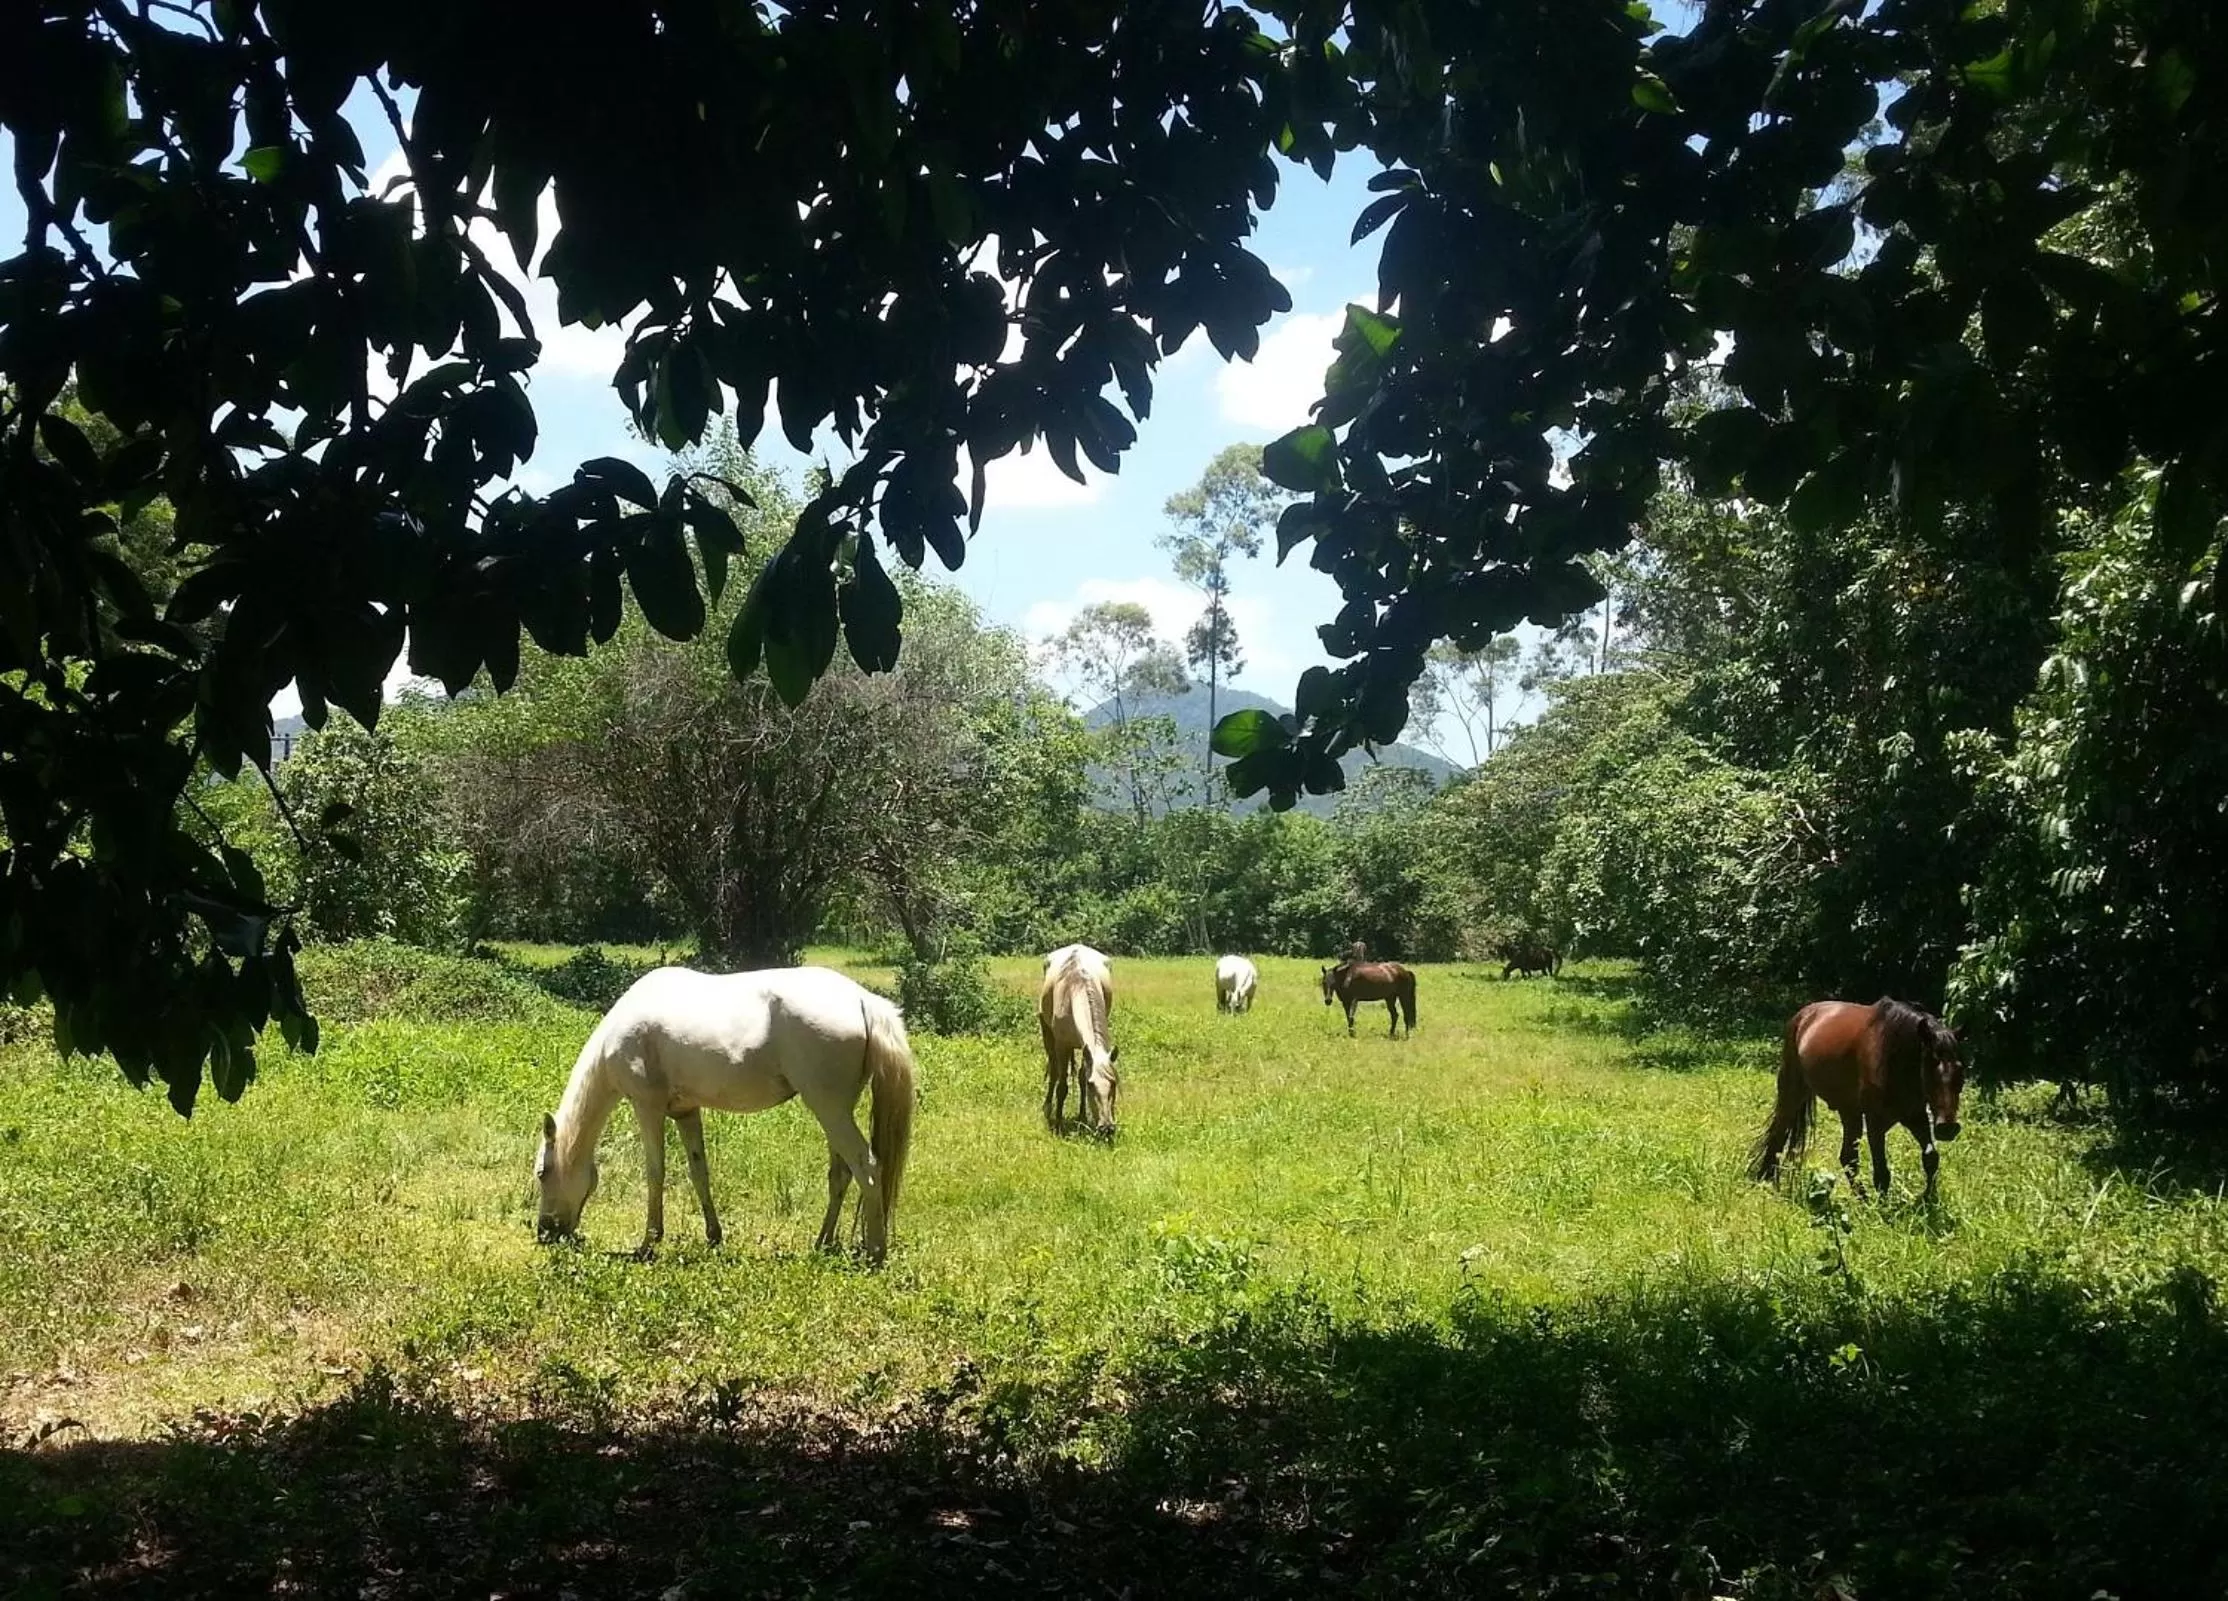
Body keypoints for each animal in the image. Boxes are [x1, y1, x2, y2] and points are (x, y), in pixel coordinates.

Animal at [534, 966, 918, 1263]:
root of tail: (864, 1001)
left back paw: (875, 1253)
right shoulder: (686, 1112)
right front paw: (713, 1236)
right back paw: (822, 1243)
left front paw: (648, 1244)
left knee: (866, 1167)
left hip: (829, 1109)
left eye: (542, 1173)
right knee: (841, 1174)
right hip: (836, 1112)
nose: (544, 1233)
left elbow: (655, 1173)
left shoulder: (648, 1108)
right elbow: (699, 1172)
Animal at [1040, 943, 1119, 1138]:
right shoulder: (1062, 1045)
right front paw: (1058, 1125)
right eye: (1092, 1086)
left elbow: (1082, 1076)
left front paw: (1082, 1117)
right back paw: (1048, 1108)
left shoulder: (1087, 1048)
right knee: (1054, 1071)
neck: (1076, 989)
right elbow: (1062, 1086)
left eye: (1113, 1083)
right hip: (1048, 1035)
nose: (1107, 1128)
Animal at [1751, 997, 1965, 1198]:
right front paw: (1882, 1209)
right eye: (1929, 1067)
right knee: (1778, 1133)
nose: (1948, 1128)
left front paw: (1928, 1199)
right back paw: (1766, 1178)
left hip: (1849, 1111)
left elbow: (1931, 1157)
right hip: (1792, 1092)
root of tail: (1803, 1015)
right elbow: (1882, 1173)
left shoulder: (1915, 1116)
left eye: (1960, 1071)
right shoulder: (1875, 1122)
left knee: (1848, 1157)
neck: (1892, 1056)